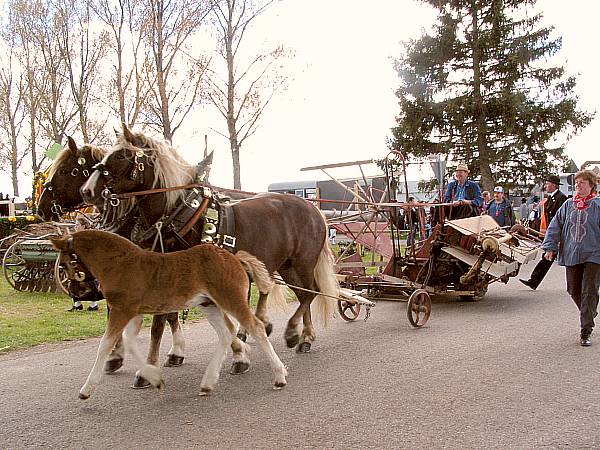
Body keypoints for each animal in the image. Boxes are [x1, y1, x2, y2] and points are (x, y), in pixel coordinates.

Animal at [49, 230, 288, 400]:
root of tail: (235, 258)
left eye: (65, 264)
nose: (76, 293)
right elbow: (130, 342)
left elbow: (105, 345)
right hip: (208, 304)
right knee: (226, 332)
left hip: (230, 298)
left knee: (255, 327)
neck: (120, 263)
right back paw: (208, 383)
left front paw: (86, 390)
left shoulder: (121, 310)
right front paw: (153, 378)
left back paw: (279, 377)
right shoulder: (133, 312)